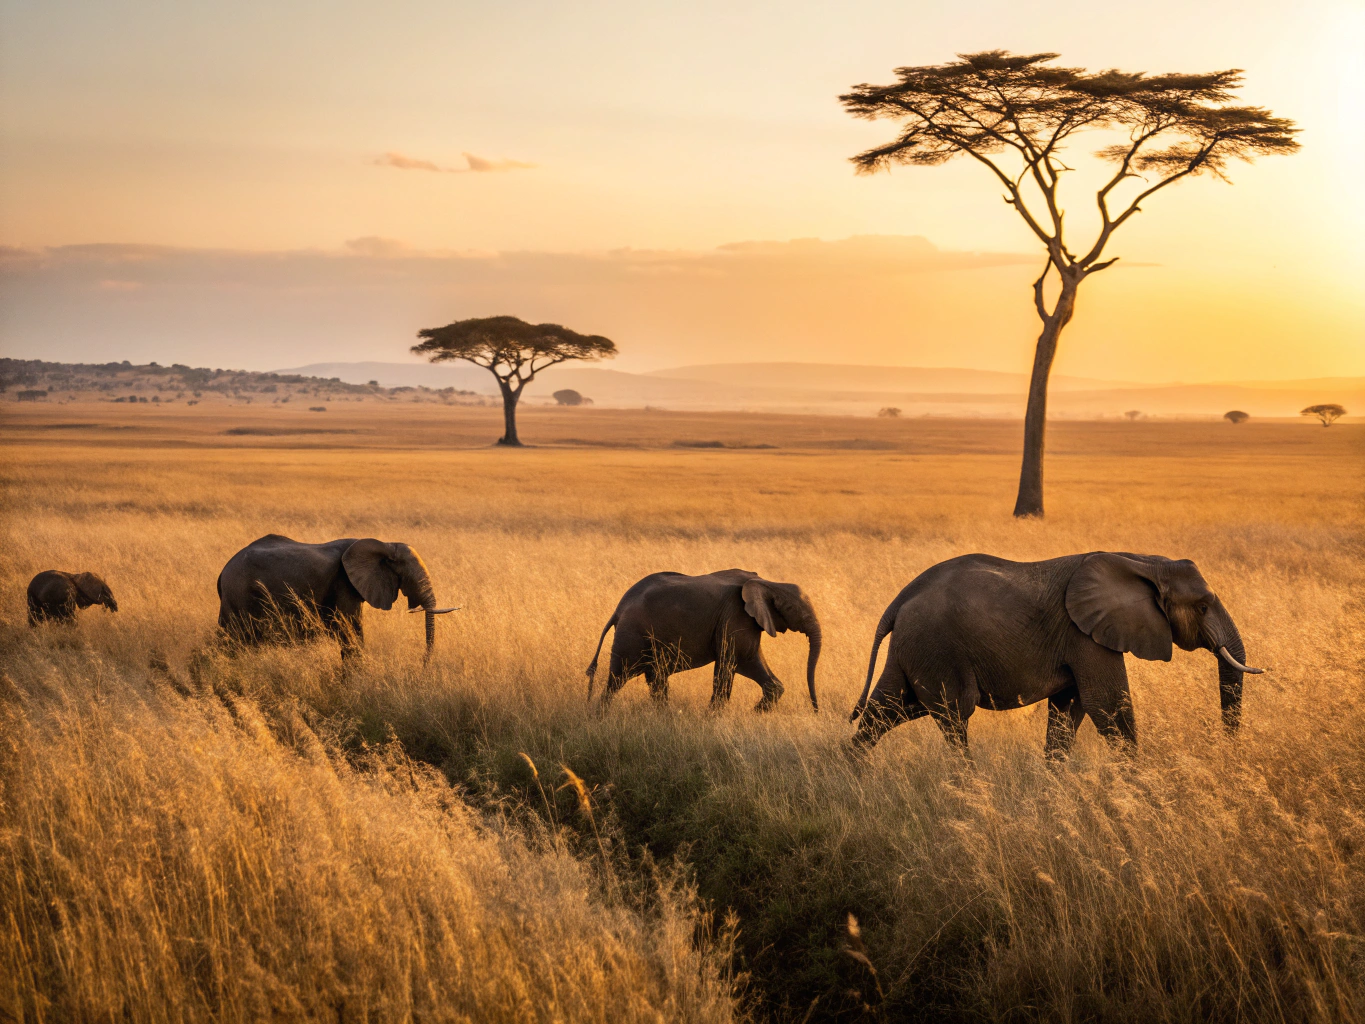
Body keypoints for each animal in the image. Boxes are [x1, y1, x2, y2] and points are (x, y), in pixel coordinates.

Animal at [217, 535, 456, 658]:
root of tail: (223, 572)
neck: (386, 544)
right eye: (407, 577)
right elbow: (350, 630)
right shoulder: (343, 583)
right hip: (240, 596)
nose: (424, 667)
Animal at [586, 569, 822, 711]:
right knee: (618, 679)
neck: (766, 582)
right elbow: (728, 665)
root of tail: (619, 608)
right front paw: (711, 719)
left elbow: (751, 663)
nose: (815, 710)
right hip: (632, 635)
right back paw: (601, 717)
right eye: (790, 608)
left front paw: (755, 713)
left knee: (656, 678)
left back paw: (663, 717)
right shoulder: (735, 615)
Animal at [849, 552, 1262, 757]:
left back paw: (851, 773)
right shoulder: (1085, 634)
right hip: (936, 646)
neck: (1143, 561)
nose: (1228, 752)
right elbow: (1106, 704)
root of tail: (899, 599)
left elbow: (1070, 708)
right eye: (1204, 606)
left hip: (914, 647)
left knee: (889, 710)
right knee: (952, 716)